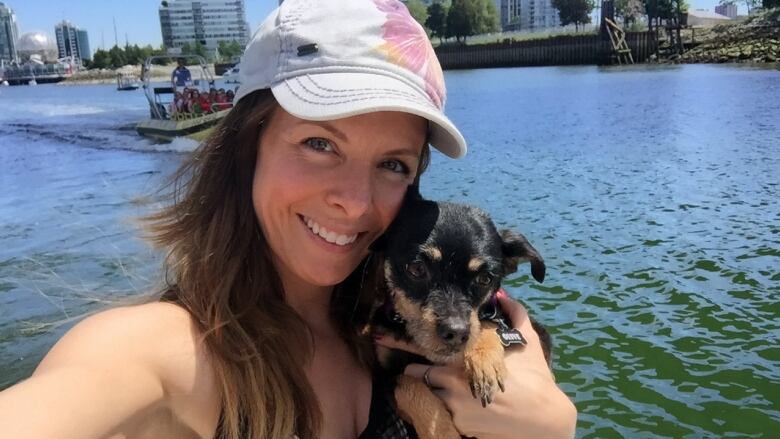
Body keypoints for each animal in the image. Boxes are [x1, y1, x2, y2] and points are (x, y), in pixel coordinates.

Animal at [366, 189, 548, 439]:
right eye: (416, 269)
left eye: (485, 279)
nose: (456, 333)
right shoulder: (383, 377)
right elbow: (411, 387)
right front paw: (442, 432)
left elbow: (489, 323)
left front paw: (483, 359)